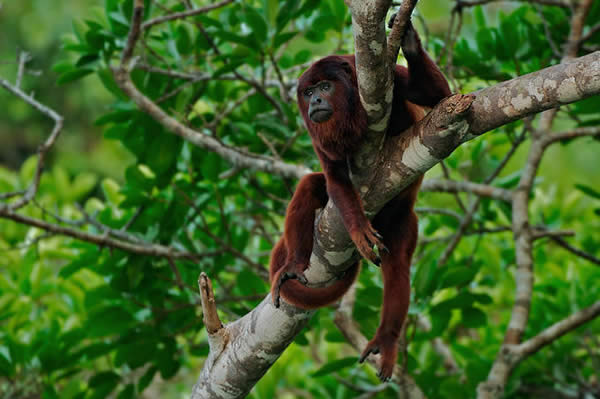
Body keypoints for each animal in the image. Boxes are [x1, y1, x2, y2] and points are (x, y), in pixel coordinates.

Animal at [268, 21, 450, 382]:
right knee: (310, 186)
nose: (316, 100)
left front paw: (409, 39)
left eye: (325, 86)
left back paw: (387, 339)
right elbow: (335, 178)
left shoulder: (388, 78)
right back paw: (294, 263)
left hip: (403, 219)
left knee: (398, 267)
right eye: (308, 92)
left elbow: (440, 96)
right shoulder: (315, 134)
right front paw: (357, 230)